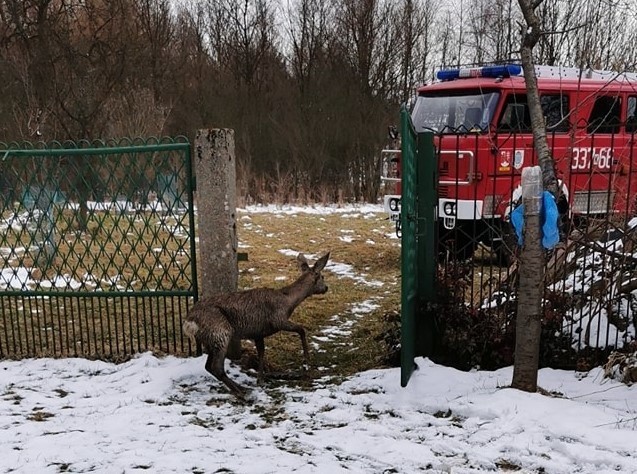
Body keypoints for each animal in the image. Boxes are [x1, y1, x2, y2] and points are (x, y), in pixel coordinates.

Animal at [183, 252, 328, 396]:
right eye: (322, 276)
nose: (326, 288)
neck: (288, 302)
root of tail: (189, 323)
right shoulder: (278, 320)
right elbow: (301, 329)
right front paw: (307, 362)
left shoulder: (258, 333)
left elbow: (261, 352)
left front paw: (260, 379)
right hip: (221, 331)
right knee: (216, 367)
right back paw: (241, 391)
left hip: (210, 339)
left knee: (208, 366)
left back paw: (239, 387)